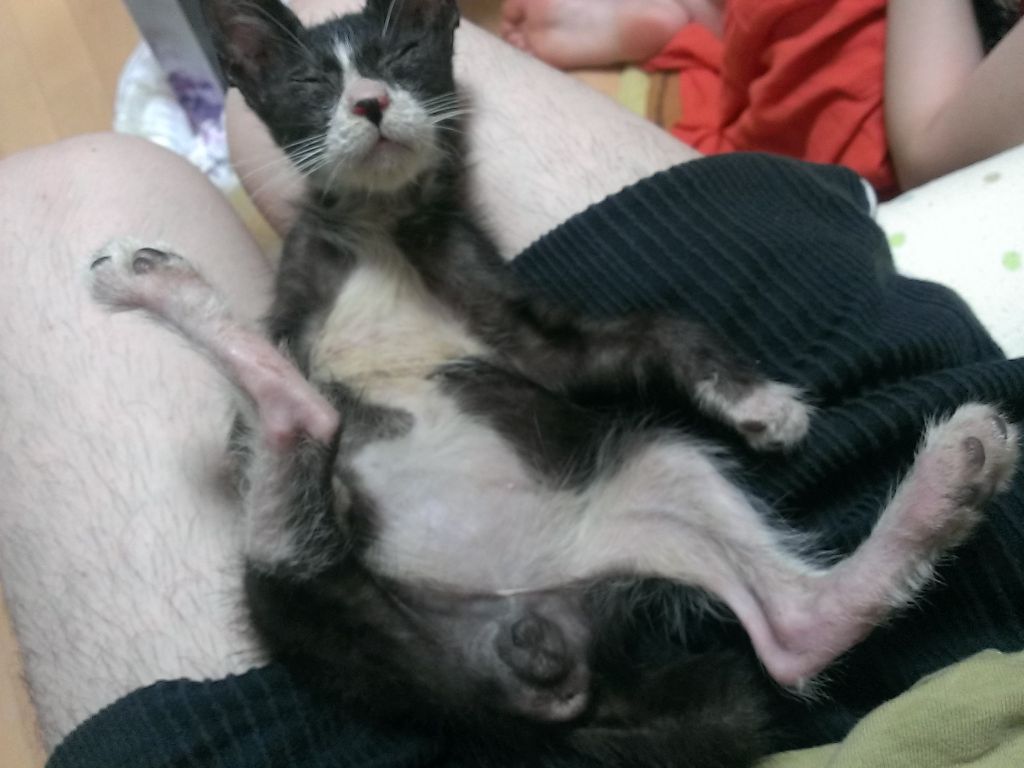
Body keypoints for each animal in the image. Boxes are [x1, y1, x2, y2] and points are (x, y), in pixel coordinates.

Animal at [87, 0, 1020, 765]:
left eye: (405, 57)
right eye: (315, 83)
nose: (372, 104)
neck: (385, 226)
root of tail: (525, 660)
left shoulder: (520, 337)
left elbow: (655, 327)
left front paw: (753, 403)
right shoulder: (297, 307)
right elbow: (244, 414)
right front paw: (755, 402)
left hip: (646, 480)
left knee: (794, 635)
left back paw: (947, 483)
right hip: (324, 614)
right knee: (296, 450)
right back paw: (159, 288)